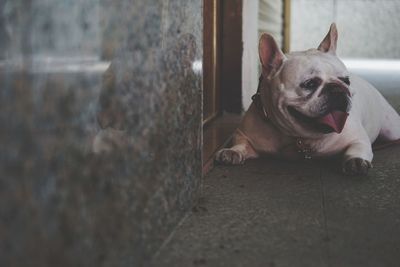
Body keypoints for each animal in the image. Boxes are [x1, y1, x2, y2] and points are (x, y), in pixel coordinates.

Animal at [216, 23, 400, 176]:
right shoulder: (243, 134)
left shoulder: (358, 138)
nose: (338, 89)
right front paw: (233, 151)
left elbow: (357, 148)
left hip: (392, 129)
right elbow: (241, 144)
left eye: (346, 80)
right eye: (310, 84)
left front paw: (356, 160)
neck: (299, 137)